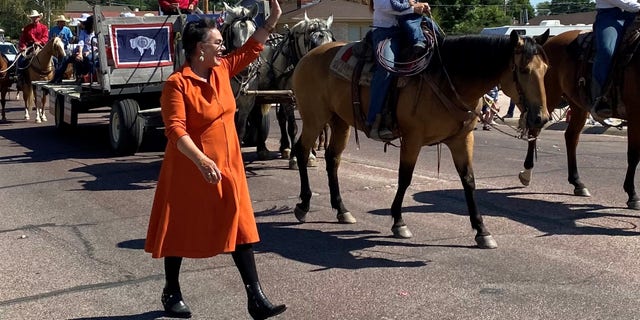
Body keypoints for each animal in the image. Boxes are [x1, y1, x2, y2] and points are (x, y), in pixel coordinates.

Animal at [290, 30, 552, 249]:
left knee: (332, 159)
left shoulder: (462, 140)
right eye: (524, 71)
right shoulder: (412, 139)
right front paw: (398, 222)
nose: (541, 118)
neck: (450, 79)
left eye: (546, 70)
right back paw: (303, 205)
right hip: (314, 118)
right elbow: (405, 178)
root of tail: (308, 57)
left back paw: (341, 210)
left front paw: (482, 231)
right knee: (302, 151)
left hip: (339, 121)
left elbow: (469, 181)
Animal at [516, 28, 640, 210]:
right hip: (547, 97)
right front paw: (632, 194)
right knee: (535, 129)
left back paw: (577, 182)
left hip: (578, 105)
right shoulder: (635, 114)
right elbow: (633, 154)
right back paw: (527, 173)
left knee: (571, 137)